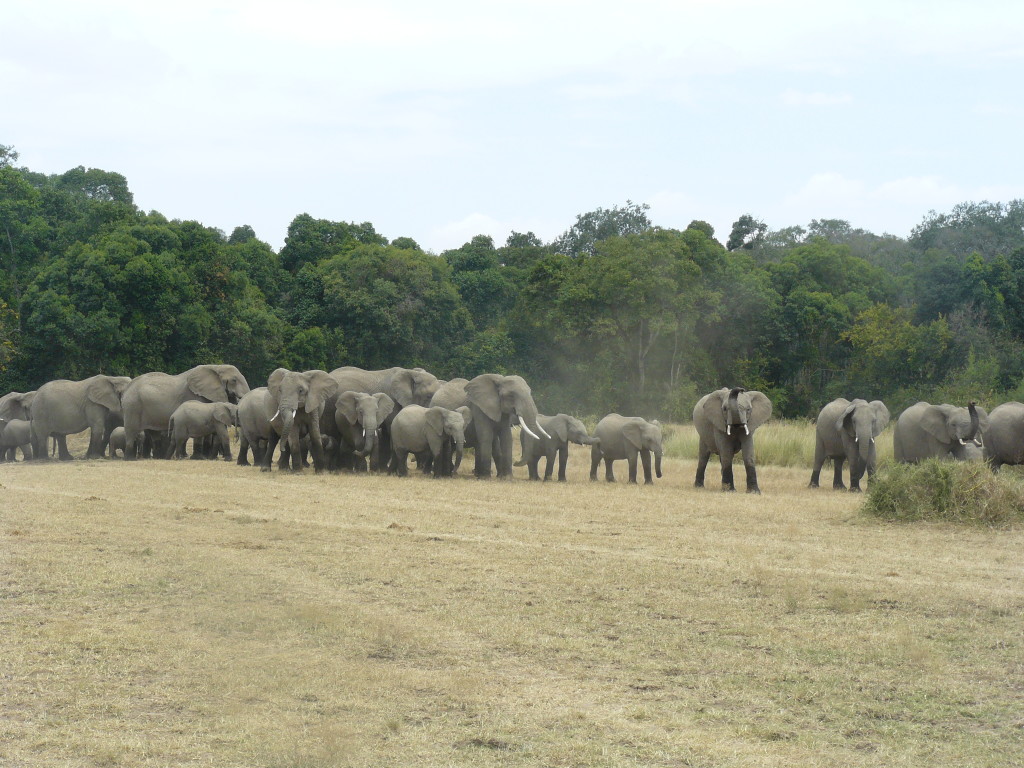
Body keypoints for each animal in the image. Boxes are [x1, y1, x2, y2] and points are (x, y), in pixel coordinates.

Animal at [120, 364, 250, 460]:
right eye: (234, 380)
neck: (215, 367)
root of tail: (126, 389)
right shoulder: (194, 395)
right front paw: (199, 458)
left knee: (153, 433)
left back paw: (159, 457)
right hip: (133, 406)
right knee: (131, 431)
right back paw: (130, 459)